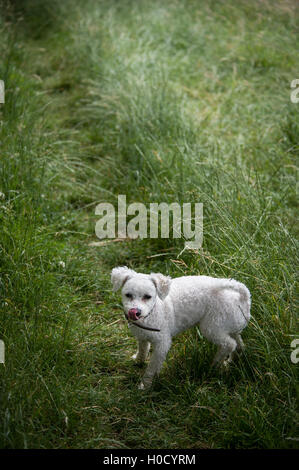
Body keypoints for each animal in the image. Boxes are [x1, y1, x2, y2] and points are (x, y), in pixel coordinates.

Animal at [111, 266, 252, 388]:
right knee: (239, 344)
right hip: (229, 324)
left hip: (212, 327)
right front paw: (138, 361)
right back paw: (230, 362)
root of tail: (243, 297)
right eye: (128, 295)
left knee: (229, 344)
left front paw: (145, 385)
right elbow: (142, 349)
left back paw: (214, 365)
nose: (135, 312)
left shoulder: (162, 343)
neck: (154, 310)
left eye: (148, 297)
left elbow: (152, 367)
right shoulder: (142, 336)